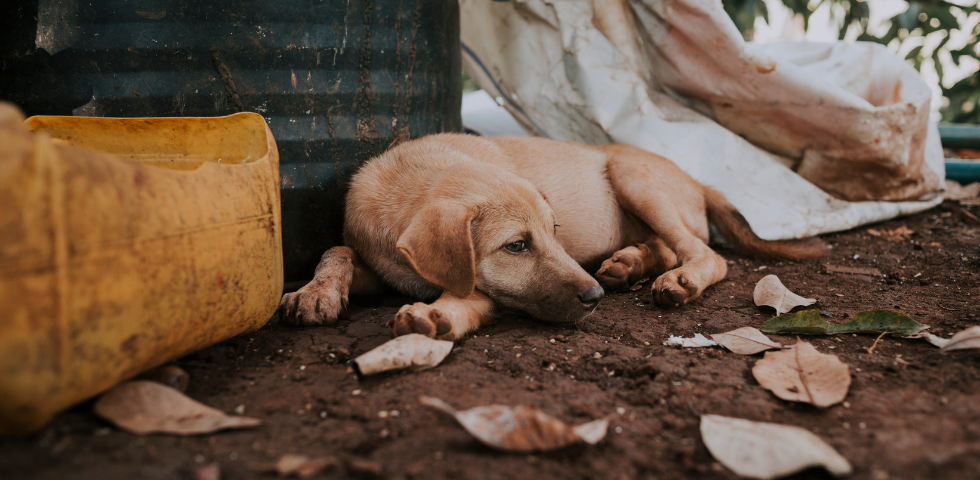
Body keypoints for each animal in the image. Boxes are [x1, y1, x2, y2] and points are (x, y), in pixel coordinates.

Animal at [274, 133, 820, 340]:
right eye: (517, 245)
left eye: (554, 232)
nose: (595, 298)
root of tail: (697, 181)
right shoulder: (380, 262)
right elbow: (337, 248)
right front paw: (316, 292)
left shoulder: (487, 290)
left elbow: (467, 295)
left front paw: (437, 314)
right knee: (671, 245)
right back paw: (629, 263)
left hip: (634, 178)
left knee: (706, 253)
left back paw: (677, 279)